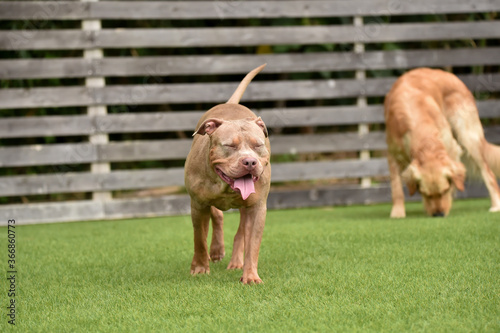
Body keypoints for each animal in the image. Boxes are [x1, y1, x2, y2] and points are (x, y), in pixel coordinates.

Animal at [184, 64, 270, 282]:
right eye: (230, 145)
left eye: (258, 145)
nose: (250, 162)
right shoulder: (197, 204)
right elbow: (199, 238)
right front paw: (200, 267)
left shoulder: (257, 207)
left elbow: (253, 244)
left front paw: (250, 276)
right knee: (216, 217)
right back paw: (215, 251)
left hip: (246, 206)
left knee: (240, 232)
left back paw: (236, 262)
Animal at [384, 68, 498, 218]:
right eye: (424, 193)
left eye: (445, 190)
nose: (439, 214)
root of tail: (448, 74)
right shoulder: (392, 154)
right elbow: (396, 187)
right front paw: (398, 213)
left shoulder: (451, 146)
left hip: (468, 138)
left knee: (488, 173)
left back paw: (496, 205)